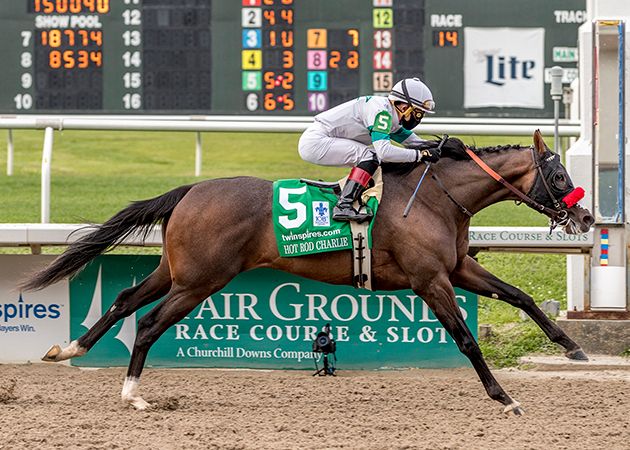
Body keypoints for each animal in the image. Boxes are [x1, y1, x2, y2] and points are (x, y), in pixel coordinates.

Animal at [22, 130, 596, 414]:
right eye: (559, 174)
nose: (587, 217)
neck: (436, 197)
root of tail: (190, 190)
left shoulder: (456, 268)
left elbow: (519, 295)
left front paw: (573, 347)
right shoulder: (429, 280)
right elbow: (467, 341)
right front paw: (504, 397)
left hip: (177, 270)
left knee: (124, 300)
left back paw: (69, 350)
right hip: (201, 279)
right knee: (147, 322)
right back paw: (132, 394)